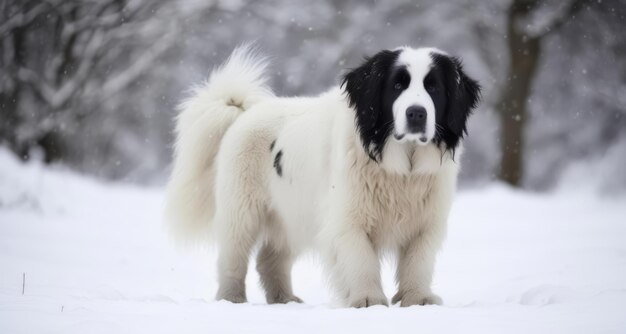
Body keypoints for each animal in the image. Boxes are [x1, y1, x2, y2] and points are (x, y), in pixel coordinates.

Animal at [165, 44, 478, 308]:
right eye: (397, 85)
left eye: (433, 88)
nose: (416, 113)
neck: (402, 168)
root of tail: (245, 113)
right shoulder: (348, 217)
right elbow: (361, 260)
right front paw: (368, 300)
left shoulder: (427, 221)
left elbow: (418, 260)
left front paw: (418, 299)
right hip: (241, 209)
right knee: (233, 256)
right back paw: (232, 299)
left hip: (293, 214)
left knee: (270, 258)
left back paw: (284, 299)